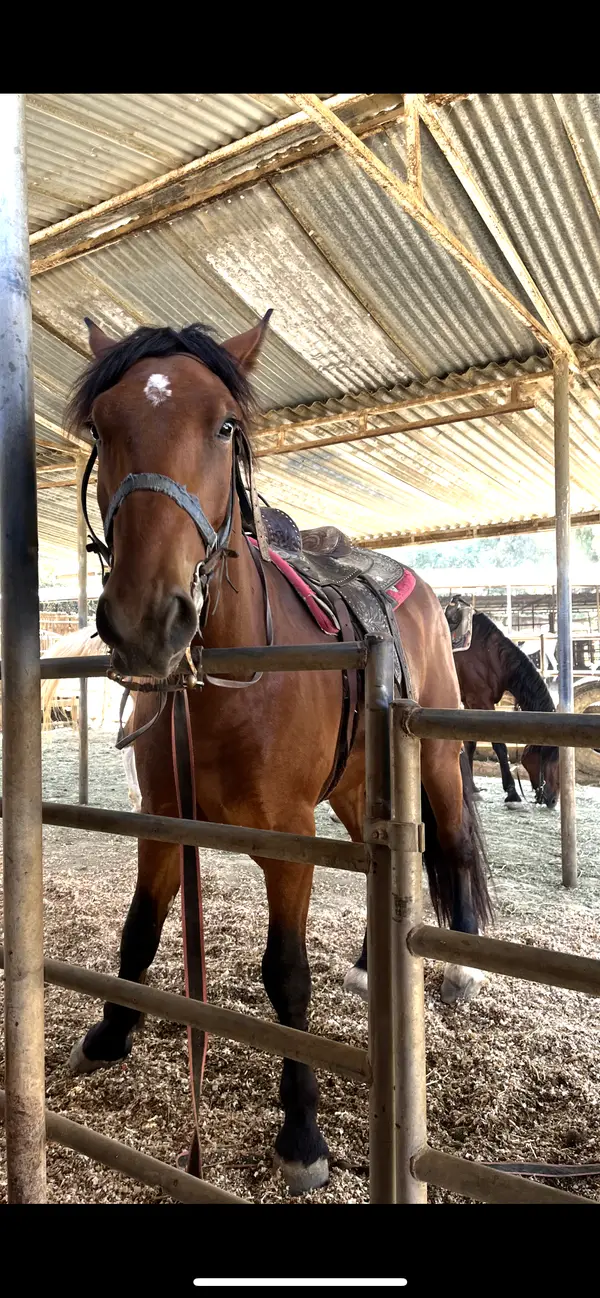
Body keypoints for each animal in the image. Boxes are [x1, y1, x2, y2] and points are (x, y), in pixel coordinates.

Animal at [63, 315, 491, 1195]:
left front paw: (302, 1134)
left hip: (431, 764)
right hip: (359, 785)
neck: (231, 683)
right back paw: (368, 965)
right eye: (103, 426)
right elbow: (139, 929)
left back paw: (463, 970)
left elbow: (285, 975)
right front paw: (111, 1033)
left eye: (225, 425)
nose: (146, 621)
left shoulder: (288, 840)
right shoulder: (166, 819)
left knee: (455, 843)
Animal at [445, 601, 560, 810]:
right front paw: (512, 792)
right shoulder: (481, 701)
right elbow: (499, 746)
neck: (490, 655)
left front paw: (473, 788)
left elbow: (471, 742)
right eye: (552, 755)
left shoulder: (471, 703)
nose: (553, 800)